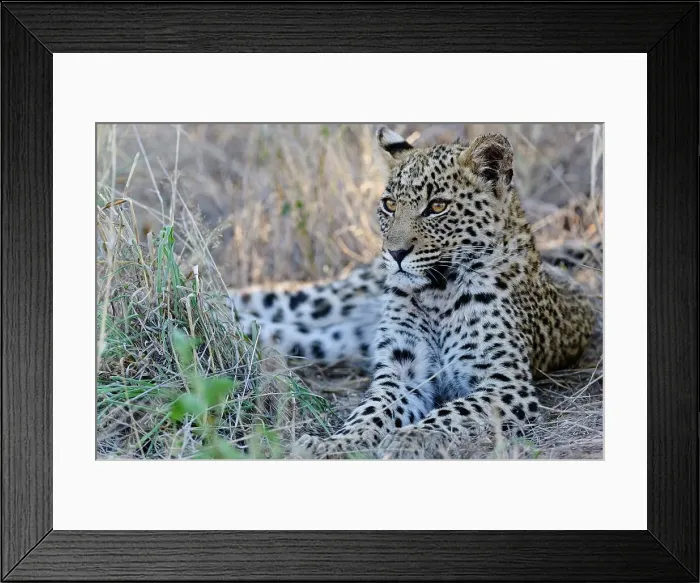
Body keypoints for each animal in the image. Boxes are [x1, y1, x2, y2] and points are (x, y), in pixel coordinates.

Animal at [228, 127, 597, 459]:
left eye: (437, 207)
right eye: (390, 205)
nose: (395, 253)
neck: (439, 293)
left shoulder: (505, 384)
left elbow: (453, 412)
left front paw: (409, 438)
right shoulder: (401, 371)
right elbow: (371, 411)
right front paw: (335, 443)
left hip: (329, 340)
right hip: (329, 302)